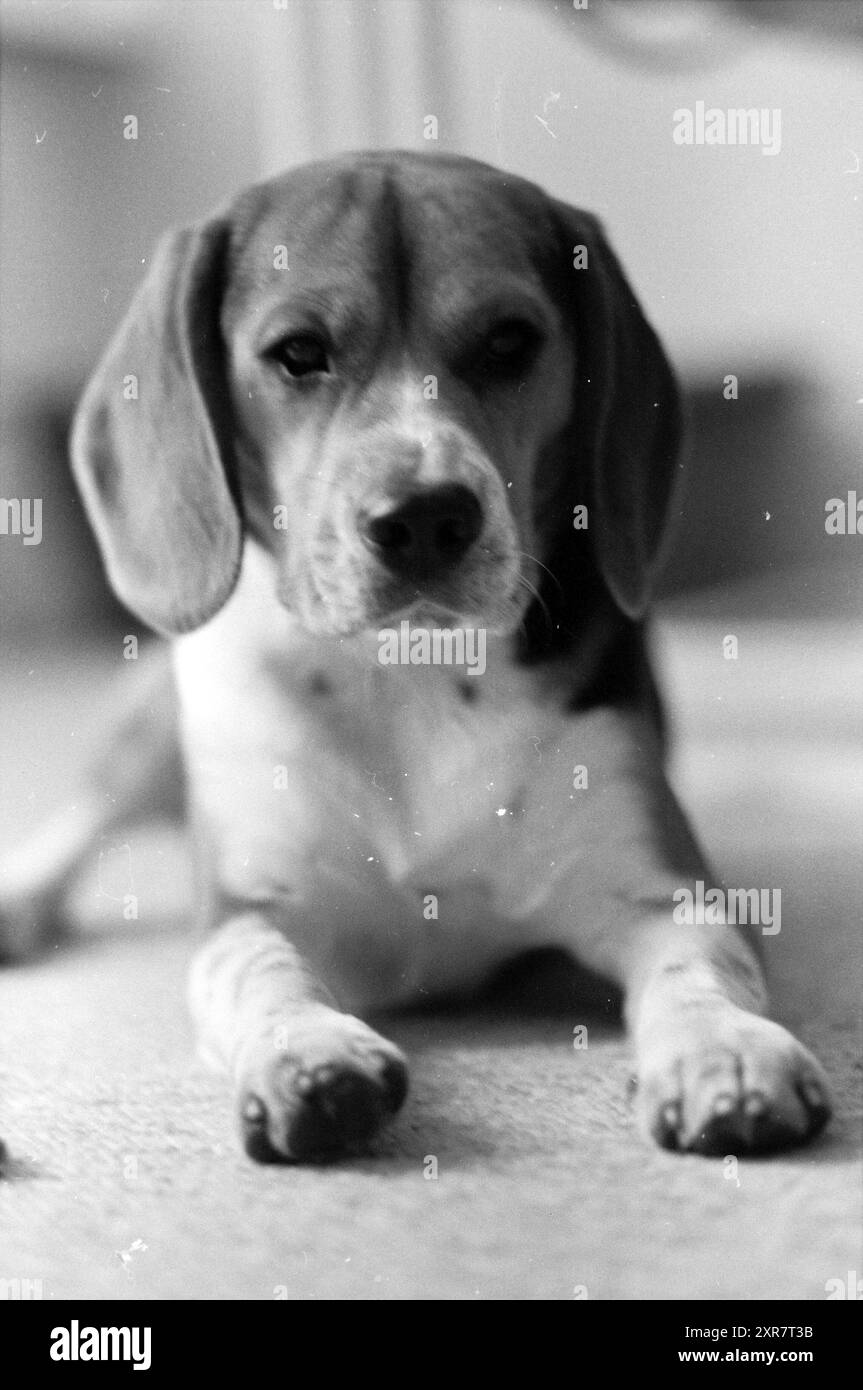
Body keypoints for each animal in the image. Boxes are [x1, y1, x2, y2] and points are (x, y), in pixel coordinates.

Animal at [3, 152, 833, 1162]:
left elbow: (698, 972)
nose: (427, 516)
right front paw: (305, 1052)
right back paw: (20, 896)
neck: (409, 674)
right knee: (94, 809)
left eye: (510, 341)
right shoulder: (247, 910)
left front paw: (726, 1051)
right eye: (298, 353)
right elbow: (263, 972)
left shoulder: (661, 892)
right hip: (155, 718)